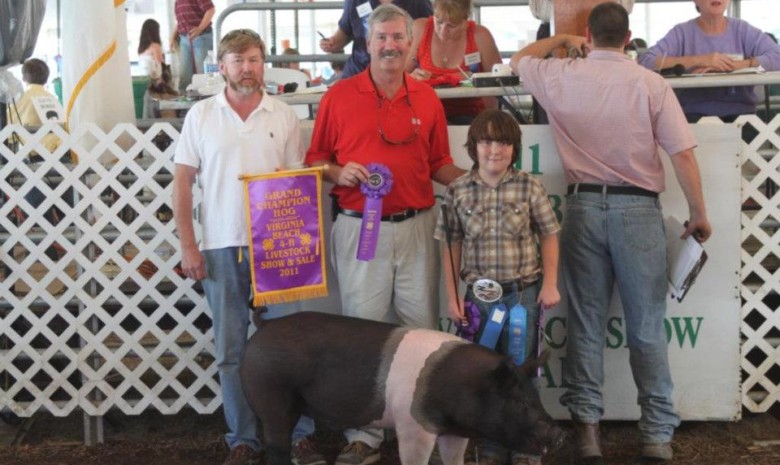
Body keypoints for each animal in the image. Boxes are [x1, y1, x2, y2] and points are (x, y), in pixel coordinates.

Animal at [241, 310, 564, 465]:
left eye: (536, 398)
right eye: (520, 402)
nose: (557, 432)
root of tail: (264, 325)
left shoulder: (455, 433)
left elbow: (454, 459)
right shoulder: (413, 425)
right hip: (270, 396)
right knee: (275, 445)